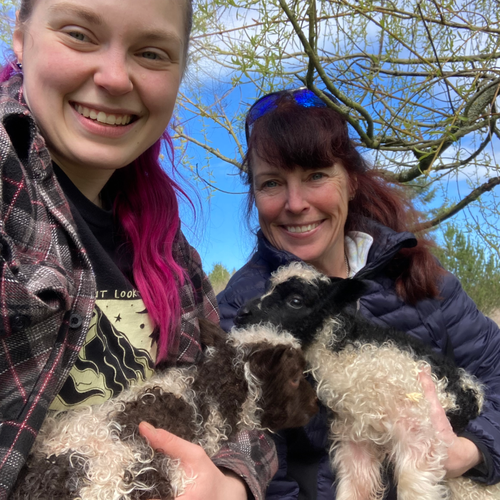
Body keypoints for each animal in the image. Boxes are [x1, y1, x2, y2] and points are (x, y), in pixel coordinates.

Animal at [234, 262, 500, 500]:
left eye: (296, 301)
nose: (240, 315)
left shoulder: (416, 427)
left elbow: (414, 490)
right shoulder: (356, 438)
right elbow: (355, 487)